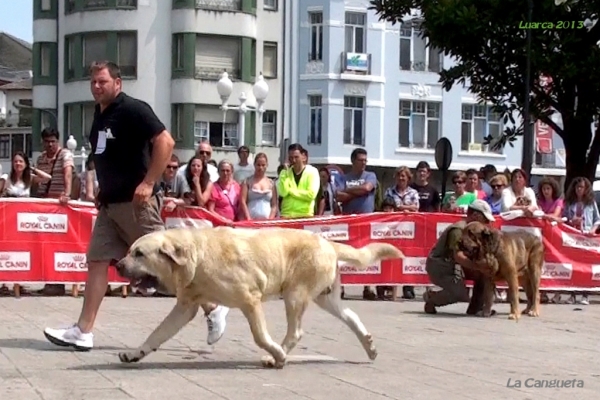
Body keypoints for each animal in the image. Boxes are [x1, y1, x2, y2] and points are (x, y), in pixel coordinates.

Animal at [113, 225, 404, 368]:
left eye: (139, 254)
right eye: (130, 251)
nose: (117, 264)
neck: (198, 255)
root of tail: (328, 242)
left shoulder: (250, 299)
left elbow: (260, 337)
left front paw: (277, 354)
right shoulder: (185, 308)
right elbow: (157, 334)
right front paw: (135, 354)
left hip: (295, 295)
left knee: (296, 332)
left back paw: (276, 357)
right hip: (324, 298)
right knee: (352, 316)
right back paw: (369, 345)